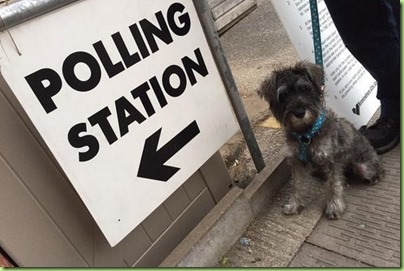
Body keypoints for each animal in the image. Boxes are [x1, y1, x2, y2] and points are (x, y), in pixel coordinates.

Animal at [258, 61, 382, 221]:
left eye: (306, 89)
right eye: (283, 95)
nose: (299, 113)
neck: (305, 133)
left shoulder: (331, 161)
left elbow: (334, 185)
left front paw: (334, 207)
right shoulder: (296, 161)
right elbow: (296, 184)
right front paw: (293, 205)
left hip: (363, 167)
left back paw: (374, 178)